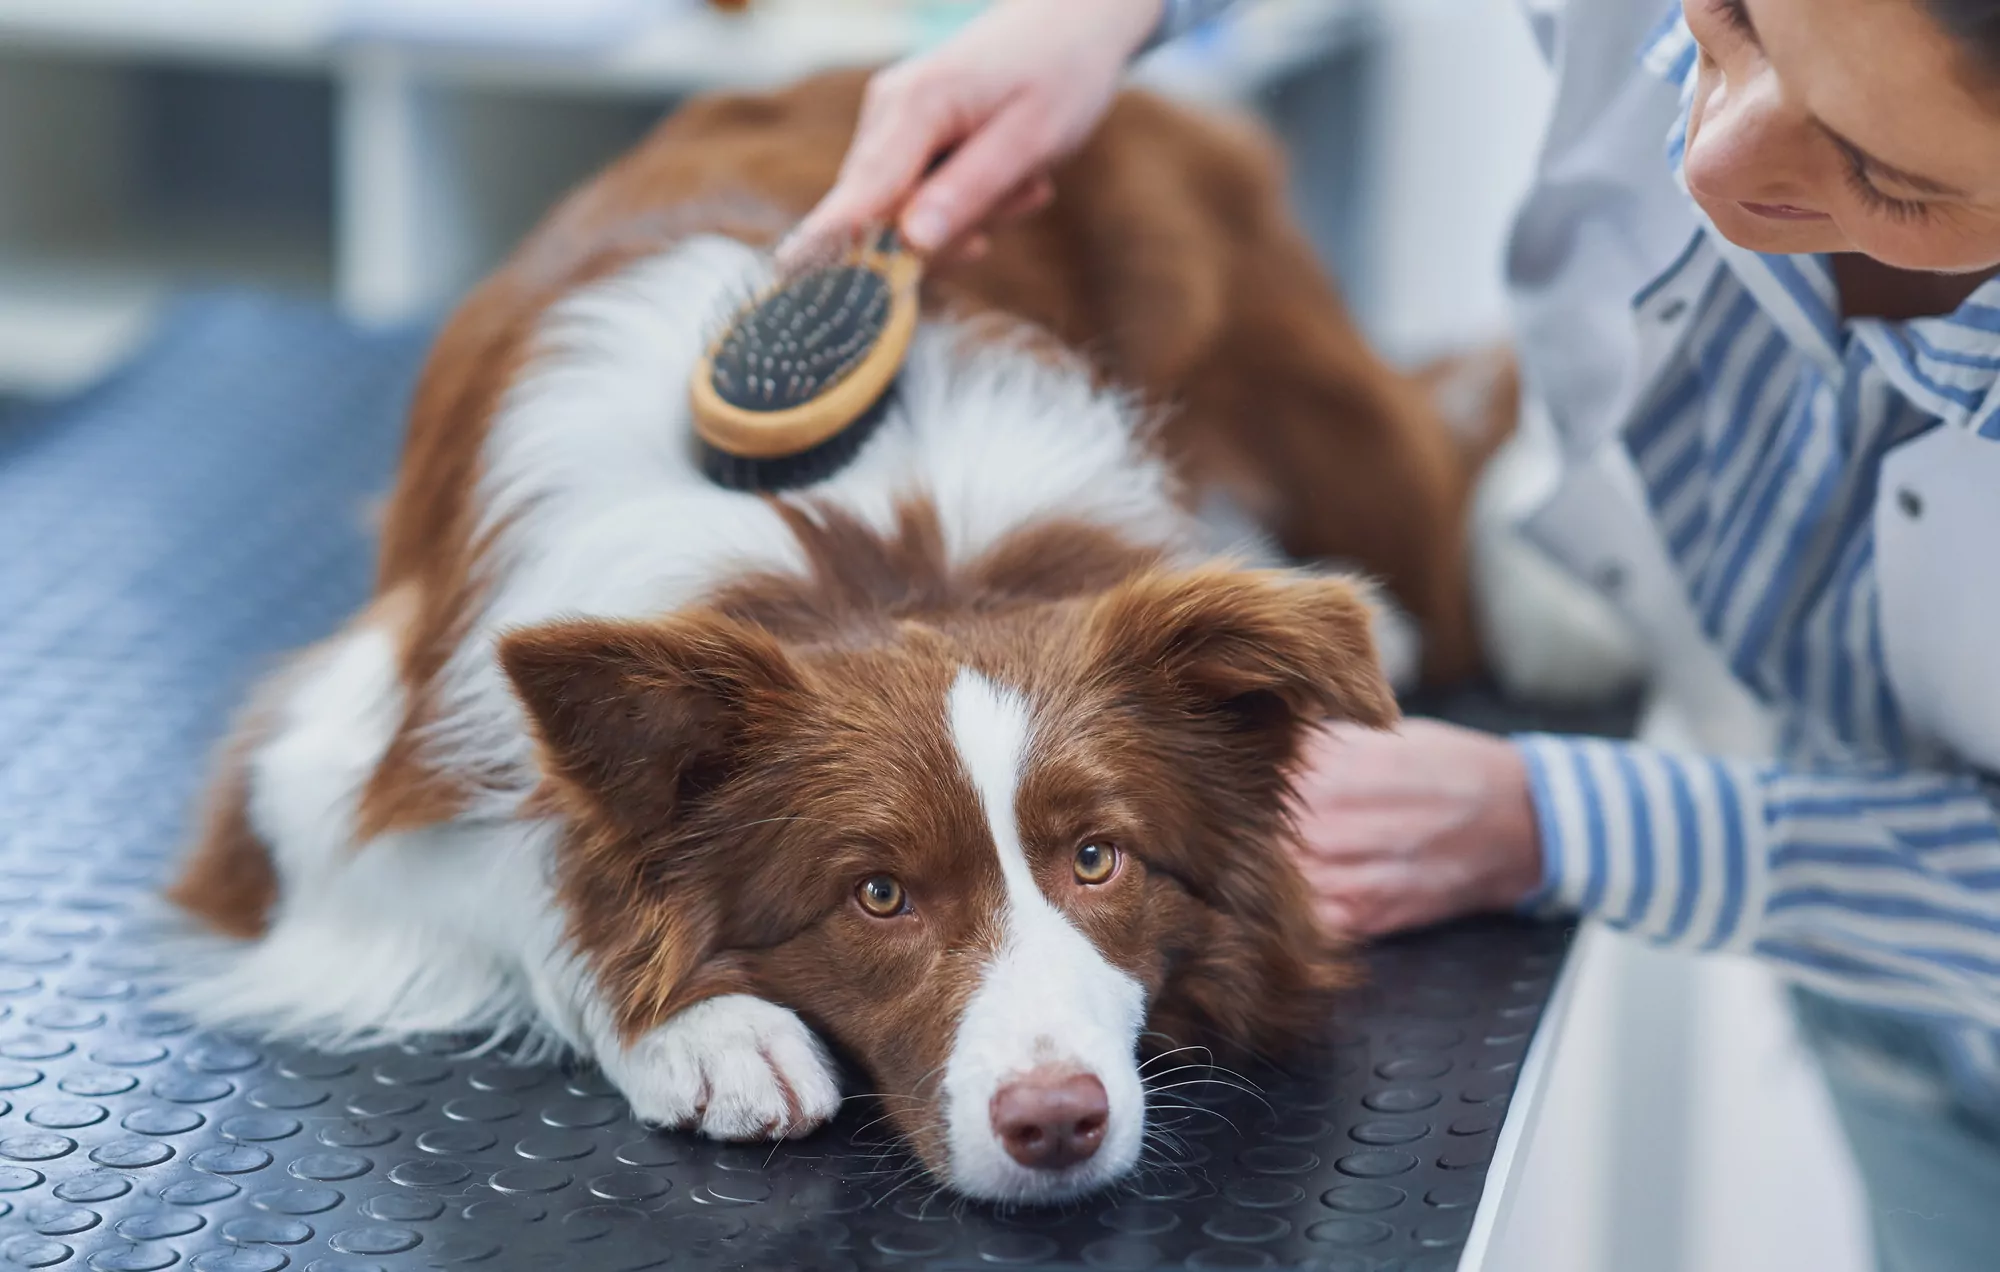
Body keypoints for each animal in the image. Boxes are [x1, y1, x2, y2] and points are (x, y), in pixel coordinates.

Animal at [168, 67, 1512, 1200]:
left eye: (1097, 859)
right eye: (877, 895)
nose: (1055, 1121)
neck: (860, 536)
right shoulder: (318, 779)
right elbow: (533, 872)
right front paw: (704, 1026)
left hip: (1335, 423)